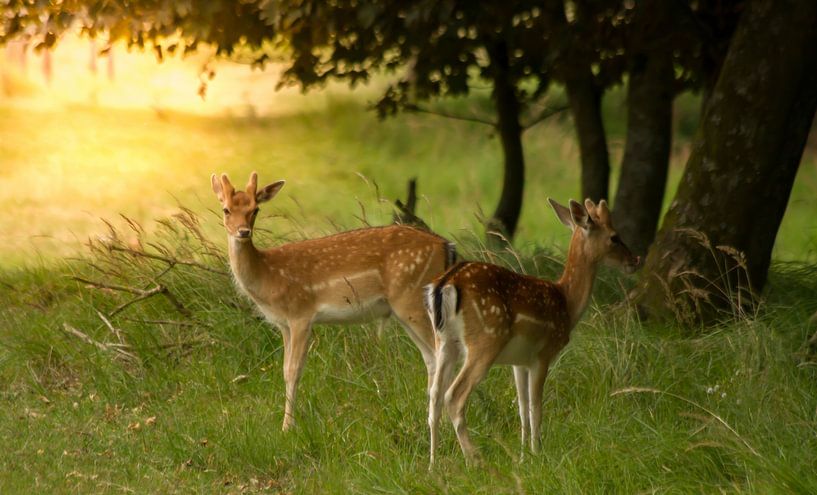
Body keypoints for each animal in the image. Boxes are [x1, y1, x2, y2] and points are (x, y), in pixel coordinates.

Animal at [210, 172, 456, 432]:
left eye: (255, 209)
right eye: (226, 209)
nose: (243, 231)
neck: (269, 276)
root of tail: (446, 246)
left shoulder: (301, 313)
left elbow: (294, 370)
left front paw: (287, 427)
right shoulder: (283, 324)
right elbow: (284, 369)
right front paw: (286, 423)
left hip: (412, 299)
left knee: (442, 354)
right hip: (408, 310)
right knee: (431, 358)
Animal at [424, 198, 640, 464]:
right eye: (614, 237)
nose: (635, 260)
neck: (567, 302)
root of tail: (445, 284)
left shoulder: (519, 361)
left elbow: (522, 407)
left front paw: (523, 454)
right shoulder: (543, 353)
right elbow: (536, 407)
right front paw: (537, 453)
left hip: (444, 342)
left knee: (434, 397)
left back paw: (433, 464)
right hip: (485, 340)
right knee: (453, 396)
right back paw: (474, 460)